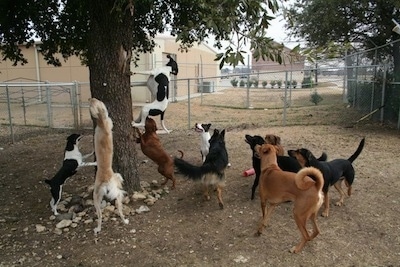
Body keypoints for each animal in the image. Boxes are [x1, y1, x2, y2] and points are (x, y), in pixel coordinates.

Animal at [88, 98, 129, 234]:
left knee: (101, 216)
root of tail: (106, 179)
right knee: (117, 209)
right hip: (109, 192)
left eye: (96, 100)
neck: (101, 123)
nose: (90, 98)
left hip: (97, 196)